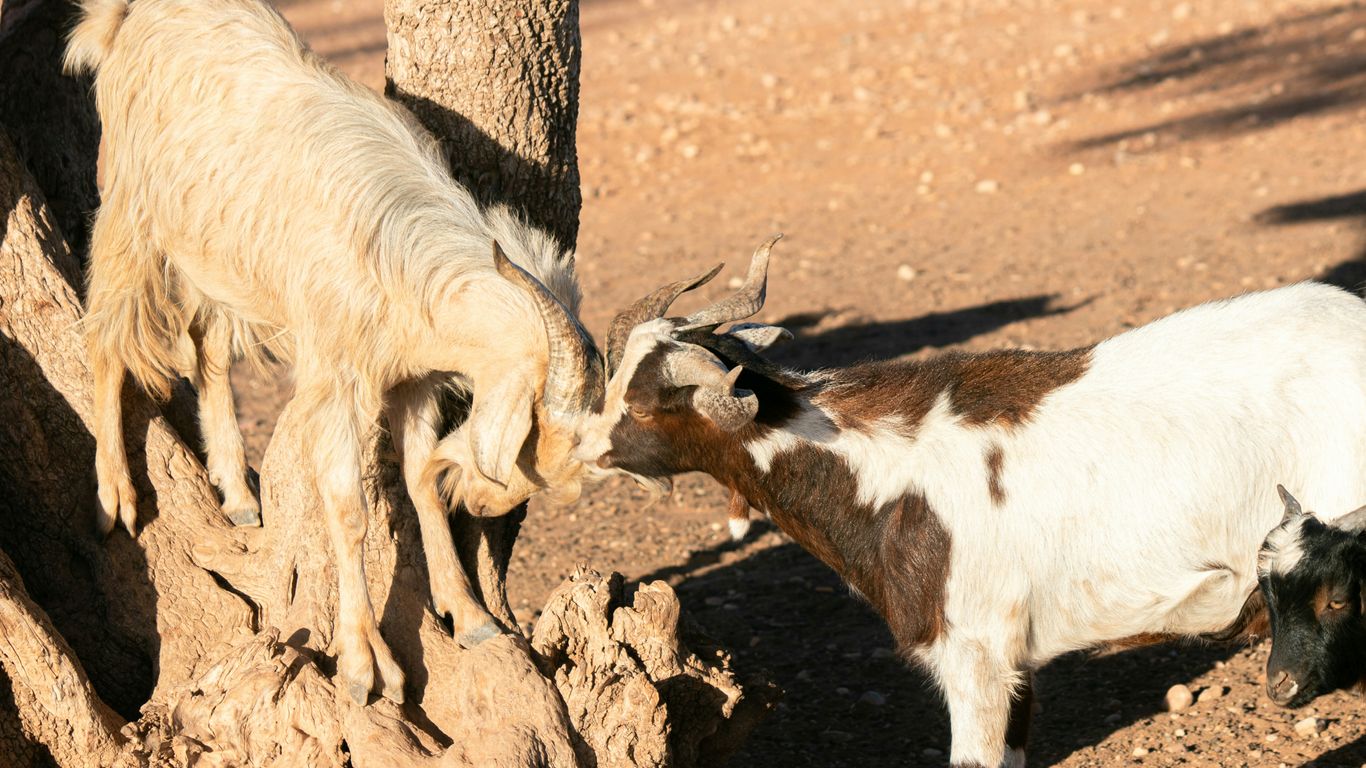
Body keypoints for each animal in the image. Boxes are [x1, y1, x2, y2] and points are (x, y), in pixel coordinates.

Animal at [65, 0, 604, 705]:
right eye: (533, 432)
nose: (487, 508)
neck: (400, 248)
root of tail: (125, 16)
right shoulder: (336, 374)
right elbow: (348, 509)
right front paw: (362, 665)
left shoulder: (411, 378)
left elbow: (419, 481)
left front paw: (470, 616)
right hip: (133, 207)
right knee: (106, 336)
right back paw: (115, 498)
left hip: (218, 252)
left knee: (208, 348)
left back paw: (238, 493)